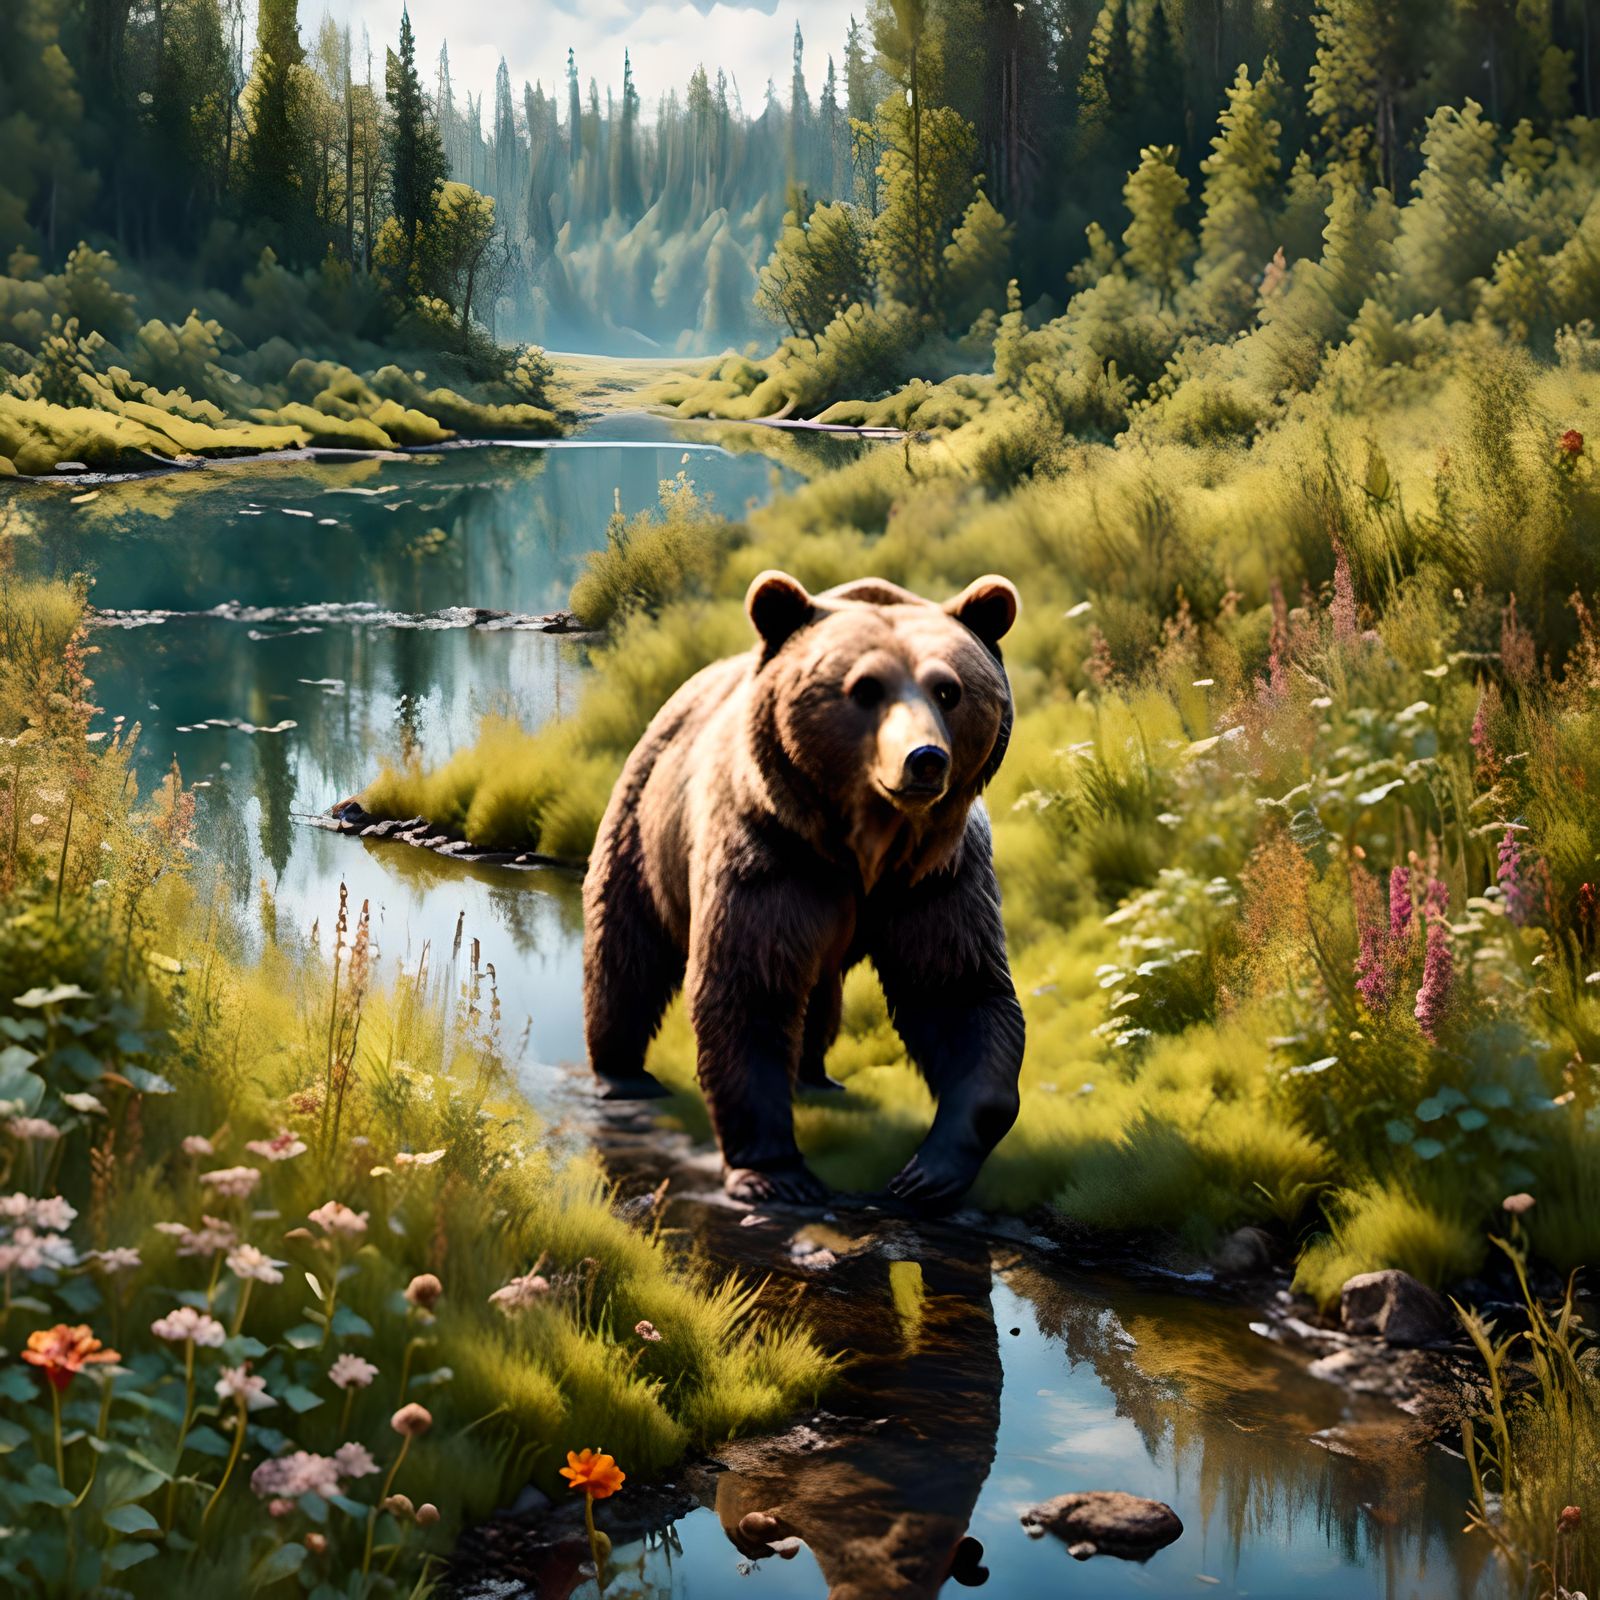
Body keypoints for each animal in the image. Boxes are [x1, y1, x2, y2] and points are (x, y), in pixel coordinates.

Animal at [581, 568, 1025, 1211]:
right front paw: (776, 1172)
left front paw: (927, 1172)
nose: (924, 760)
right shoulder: (767, 851)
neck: (866, 846)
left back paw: (817, 1076)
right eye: (865, 688)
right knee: (625, 949)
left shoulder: (938, 873)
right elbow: (749, 984)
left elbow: (957, 988)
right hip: (644, 822)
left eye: (949, 690)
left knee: (819, 989)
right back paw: (623, 1075)